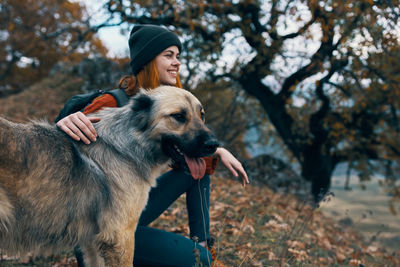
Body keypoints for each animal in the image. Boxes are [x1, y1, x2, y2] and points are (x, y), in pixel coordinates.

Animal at [0, 87, 219, 266]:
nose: (214, 145)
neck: (129, 144)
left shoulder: (92, 241)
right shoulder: (119, 236)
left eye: (202, 115)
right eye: (178, 116)